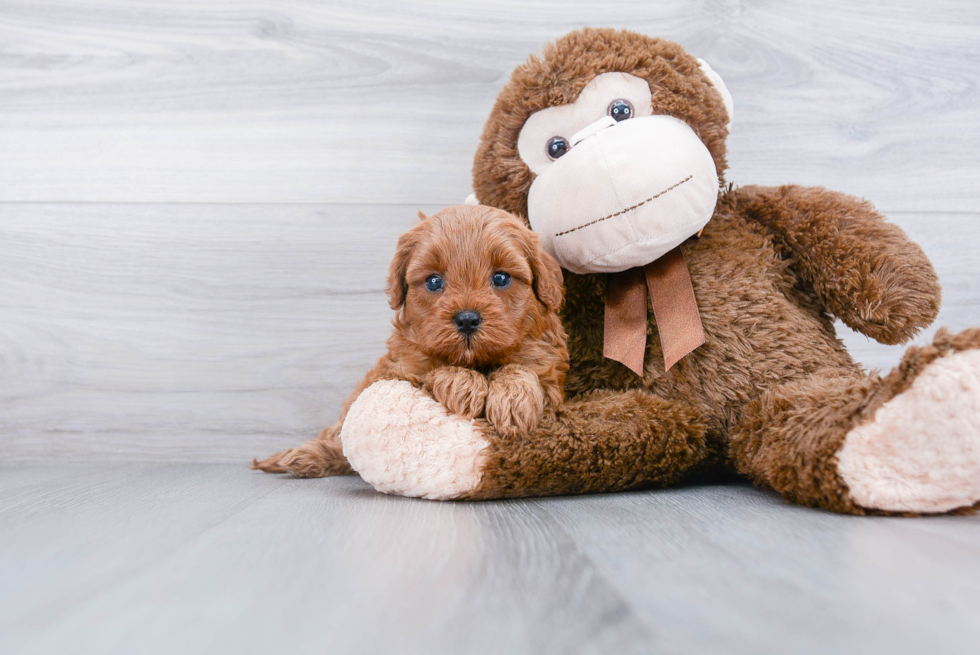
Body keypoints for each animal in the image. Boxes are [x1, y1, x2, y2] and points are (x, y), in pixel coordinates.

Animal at [255, 205, 568, 476]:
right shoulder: (397, 370)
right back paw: (303, 456)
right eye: (433, 281)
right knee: (337, 435)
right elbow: (432, 372)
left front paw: (513, 400)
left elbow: (524, 369)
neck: (478, 362)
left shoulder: (549, 374)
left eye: (501, 278)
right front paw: (462, 384)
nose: (467, 319)